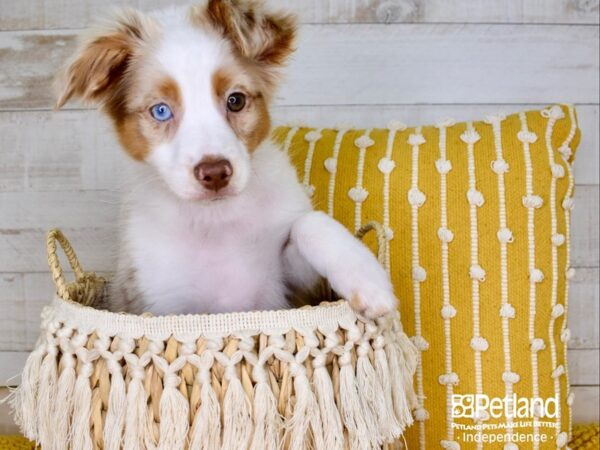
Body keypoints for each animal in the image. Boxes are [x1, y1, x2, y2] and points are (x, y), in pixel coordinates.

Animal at [54, 0, 396, 316]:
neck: (215, 219)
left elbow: (310, 222)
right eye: (161, 110)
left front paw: (369, 281)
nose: (215, 173)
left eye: (236, 100)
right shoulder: (160, 301)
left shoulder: (295, 290)